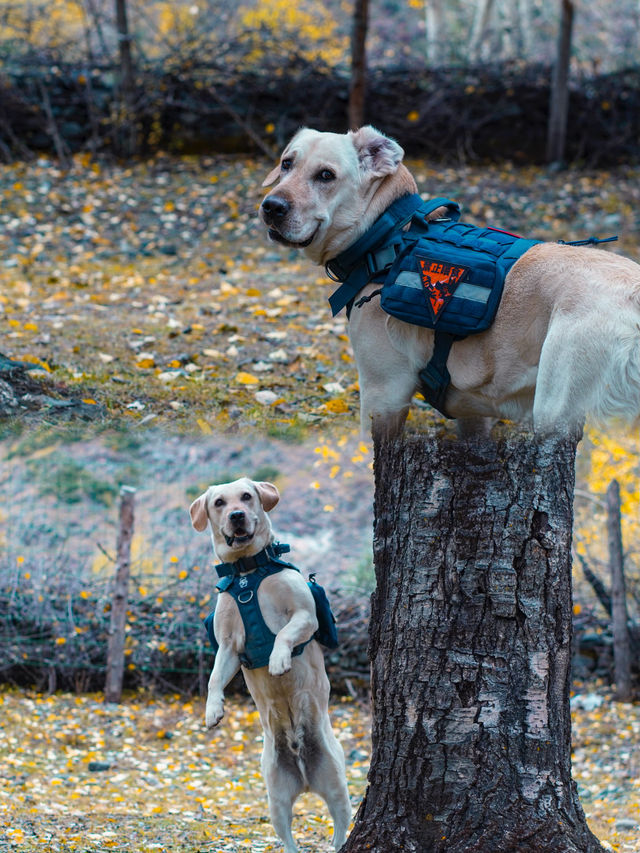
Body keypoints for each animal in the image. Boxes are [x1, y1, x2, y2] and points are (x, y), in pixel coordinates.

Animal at [189, 476, 350, 848]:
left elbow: (283, 636)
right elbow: (214, 678)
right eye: (219, 503)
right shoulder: (228, 646)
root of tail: (305, 779)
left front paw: (278, 662)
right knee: (288, 841)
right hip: (276, 801)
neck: (247, 572)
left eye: (247, 496)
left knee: (338, 832)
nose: (236, 515)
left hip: (338, 789)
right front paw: (212, 711)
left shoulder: (304, 615)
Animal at [258, 126, 640, 440]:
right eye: (287, 164)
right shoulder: (474, 413)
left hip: (558, 412)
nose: (271, 206)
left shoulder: (384, 394)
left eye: (326, 175)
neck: (387, 234)